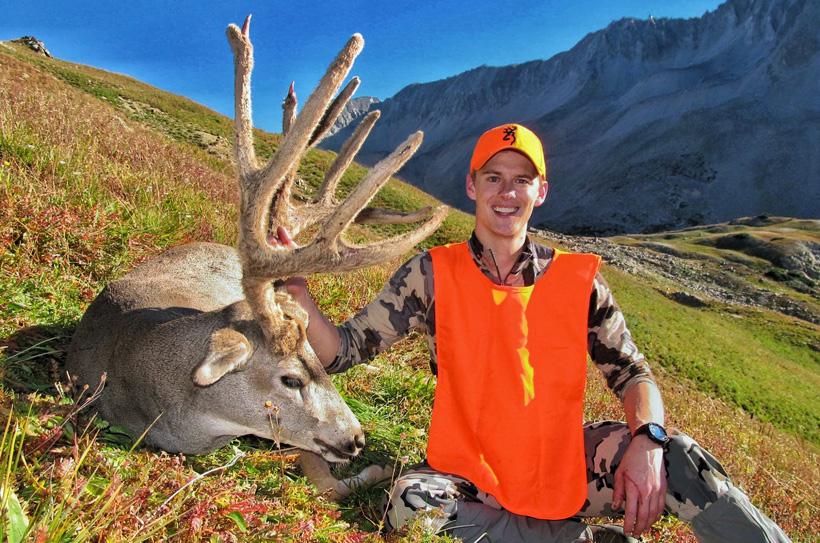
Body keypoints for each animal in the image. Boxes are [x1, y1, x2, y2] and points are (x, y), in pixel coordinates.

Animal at [65, 16, 447, 499]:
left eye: (317, 361)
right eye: (291, 379)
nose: (357, 439)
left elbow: (326, 484)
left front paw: (378, 469)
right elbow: (330, 485)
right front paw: (379, 469)